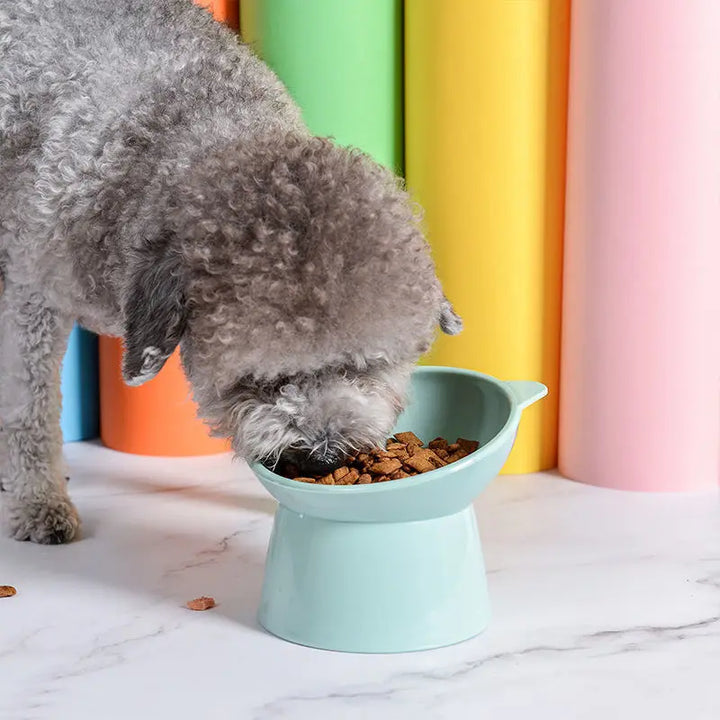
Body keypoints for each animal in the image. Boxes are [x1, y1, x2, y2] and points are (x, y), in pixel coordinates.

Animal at [0, 0, 462, 544]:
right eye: (258, 380)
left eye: (364, 366)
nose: (322, 455)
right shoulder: (30, 298)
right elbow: (28, 409)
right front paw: (39, 501)